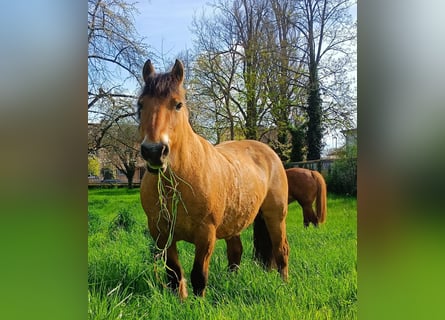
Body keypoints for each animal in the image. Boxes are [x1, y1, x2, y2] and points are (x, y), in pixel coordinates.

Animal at [137, 59, 288, 300]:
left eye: (178, 104)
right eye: (141, 105)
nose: (154, 151)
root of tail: (268, 151)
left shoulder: (206, 234)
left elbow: (199, 274)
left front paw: (198, 303)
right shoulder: (161, 234)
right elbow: (174, 274)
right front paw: (181, 301)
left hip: (275, 216)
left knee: (281, 250)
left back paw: (284, 284)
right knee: (236, 252)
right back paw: (232, 281)